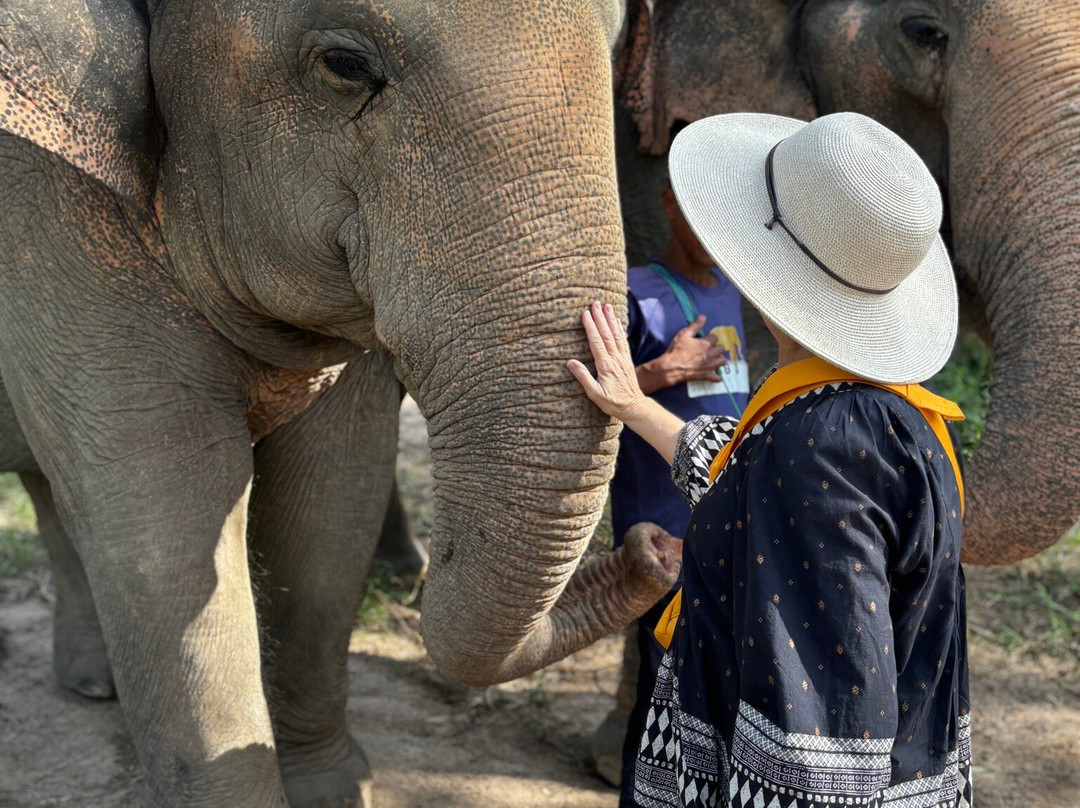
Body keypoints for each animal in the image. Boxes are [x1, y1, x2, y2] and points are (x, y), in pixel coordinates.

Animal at [0, 0, 685, 806]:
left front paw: (331, 789)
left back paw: (94, 684)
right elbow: (165, 523)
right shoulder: (53, 215)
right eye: (347, 66)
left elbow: (329, 497)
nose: (654, 547)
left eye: (618, 44)